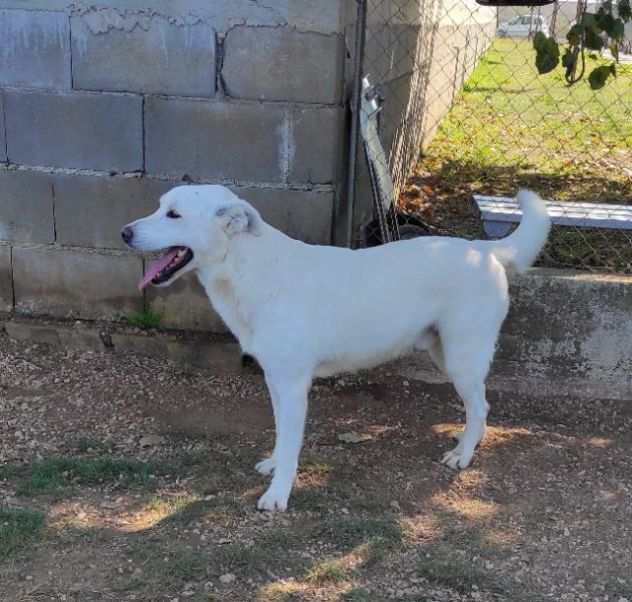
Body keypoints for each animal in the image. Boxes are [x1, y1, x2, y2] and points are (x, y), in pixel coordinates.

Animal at [122, 185, 548, 508]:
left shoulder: (295, 387)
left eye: (174, 215)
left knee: (479, 406)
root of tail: (483, 249)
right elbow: (281, 436)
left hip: (461, 358)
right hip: (444, 353)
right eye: (159, 207)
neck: (249, 267)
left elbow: (292, 445)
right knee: (481, 406)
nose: (124, 232)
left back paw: (463, 454)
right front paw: (274, 465)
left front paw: (278, 495)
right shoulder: (275, 381)